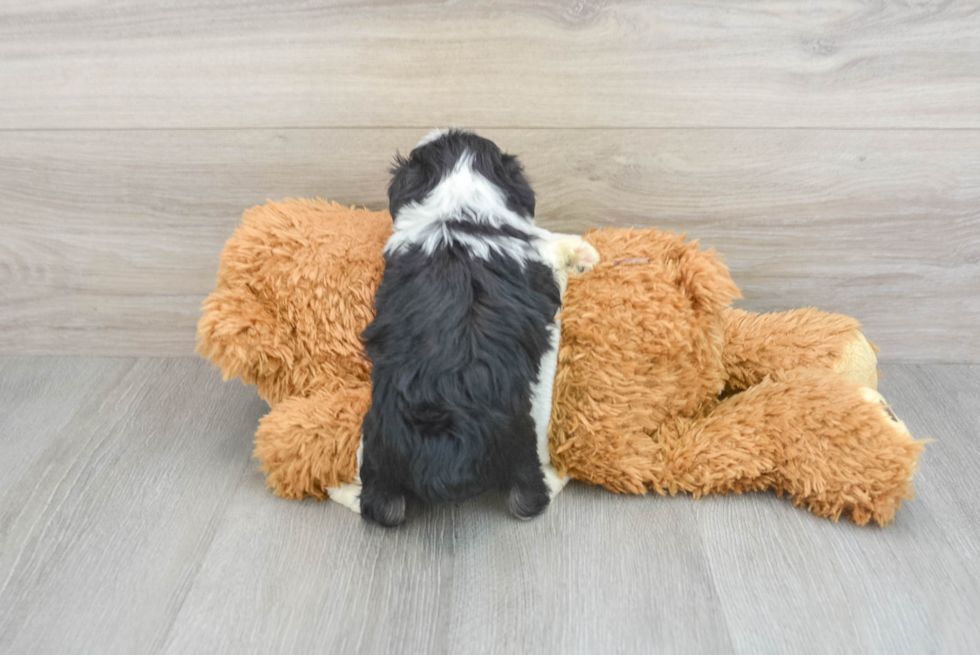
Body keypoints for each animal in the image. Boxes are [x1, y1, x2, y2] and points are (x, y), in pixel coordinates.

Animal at [338, 128, 596, 528]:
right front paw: (582, 253)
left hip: (377, 447)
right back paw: (558, 476)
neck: (459, 208)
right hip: (521, 440)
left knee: (377, 506)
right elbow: (548, 241)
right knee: (529, 500)